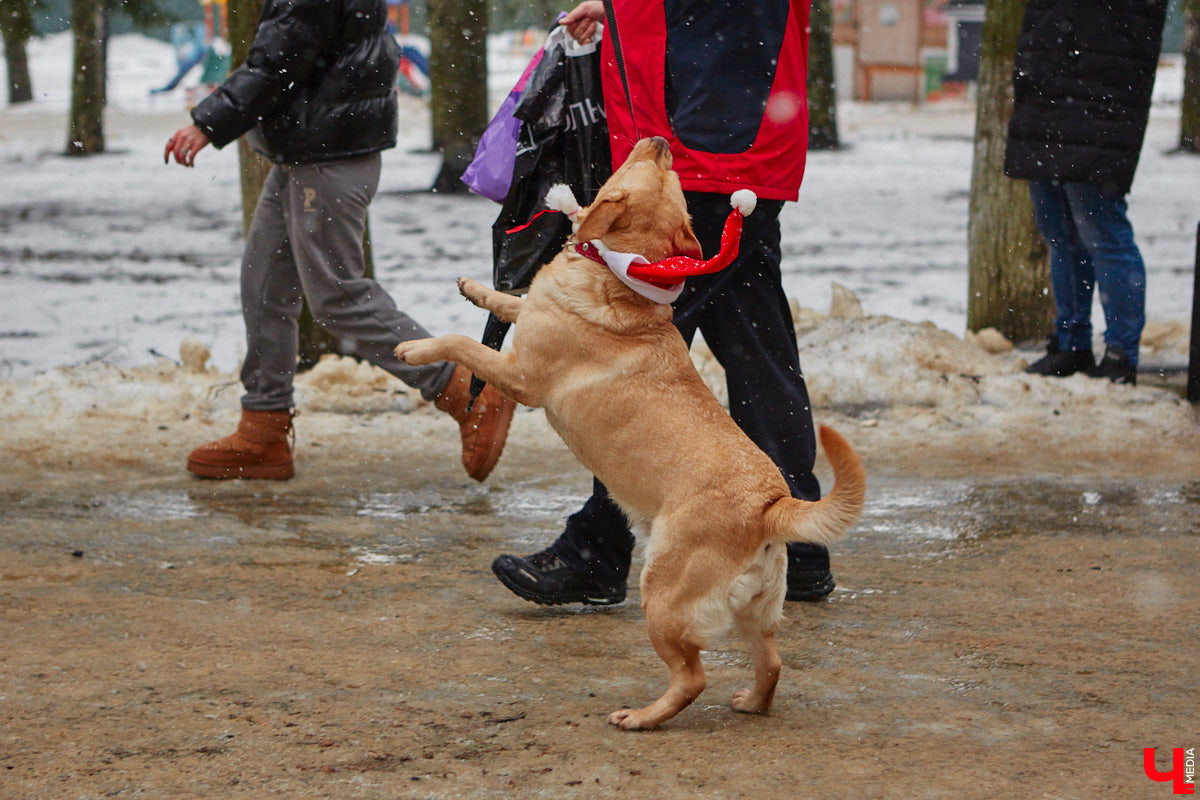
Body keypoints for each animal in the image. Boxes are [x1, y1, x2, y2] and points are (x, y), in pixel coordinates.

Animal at [398, 137, 868, 734]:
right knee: (772, 662)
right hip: (751, 614)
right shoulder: (529, 320)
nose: (661, 140)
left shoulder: (522, 379)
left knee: (692, 677)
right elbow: (512, 300)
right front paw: (475, 288)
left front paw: (417, 349)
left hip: (662, 598)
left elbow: (461, 342)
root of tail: (771, 506)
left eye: (652, 170)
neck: (618, 273)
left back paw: (643, 717)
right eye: (672, 180)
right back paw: (751, 702)